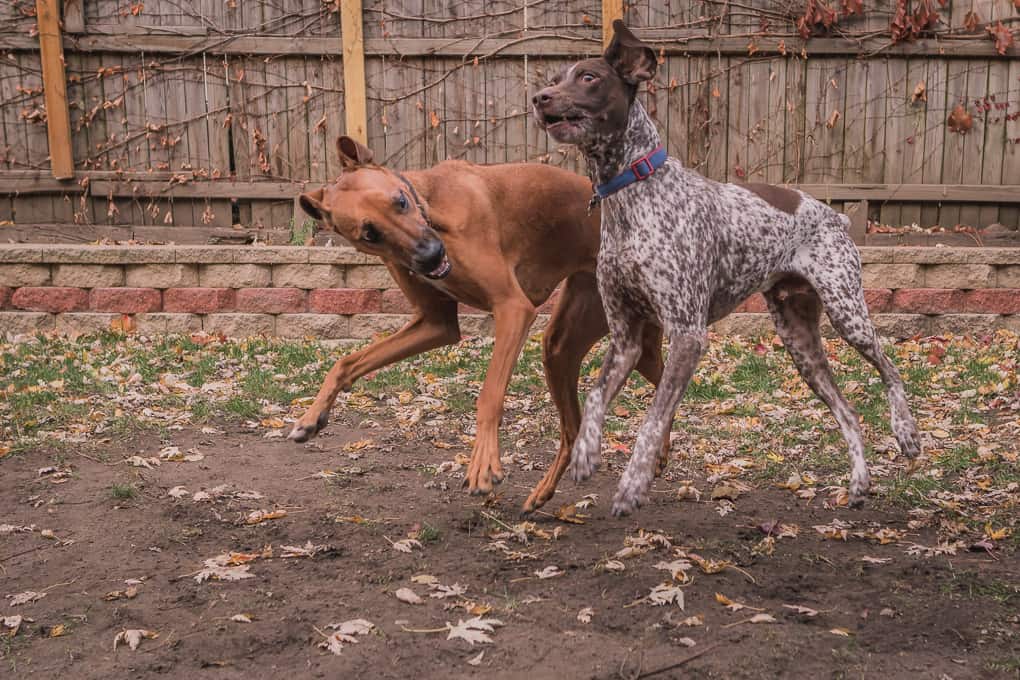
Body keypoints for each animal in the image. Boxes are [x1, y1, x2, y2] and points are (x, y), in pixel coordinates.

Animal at [291, 136, 665, 509]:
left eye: (400, 201)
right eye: (370, 234)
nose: (431, 256)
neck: (432, 204)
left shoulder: (513, 308)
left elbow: (489, 396)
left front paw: (483, 464)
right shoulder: (435, 324)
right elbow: (346, 361)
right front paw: (311, 417)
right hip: (565, 347)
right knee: (577, 428)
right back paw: (550, 490)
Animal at [534, 21, 926, 517]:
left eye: (588, 77)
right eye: (556, 77)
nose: (539, 98)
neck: (633, 193)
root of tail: (834, 215)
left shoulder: (687, 335)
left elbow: (652, 421)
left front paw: (633, 485)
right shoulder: (625, 336)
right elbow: (595, 394)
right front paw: (586, 453)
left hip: (848, 313)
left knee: (890, 368)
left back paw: (907, 434)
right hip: (800, 342)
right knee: (848, 411)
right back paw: (859, 484)